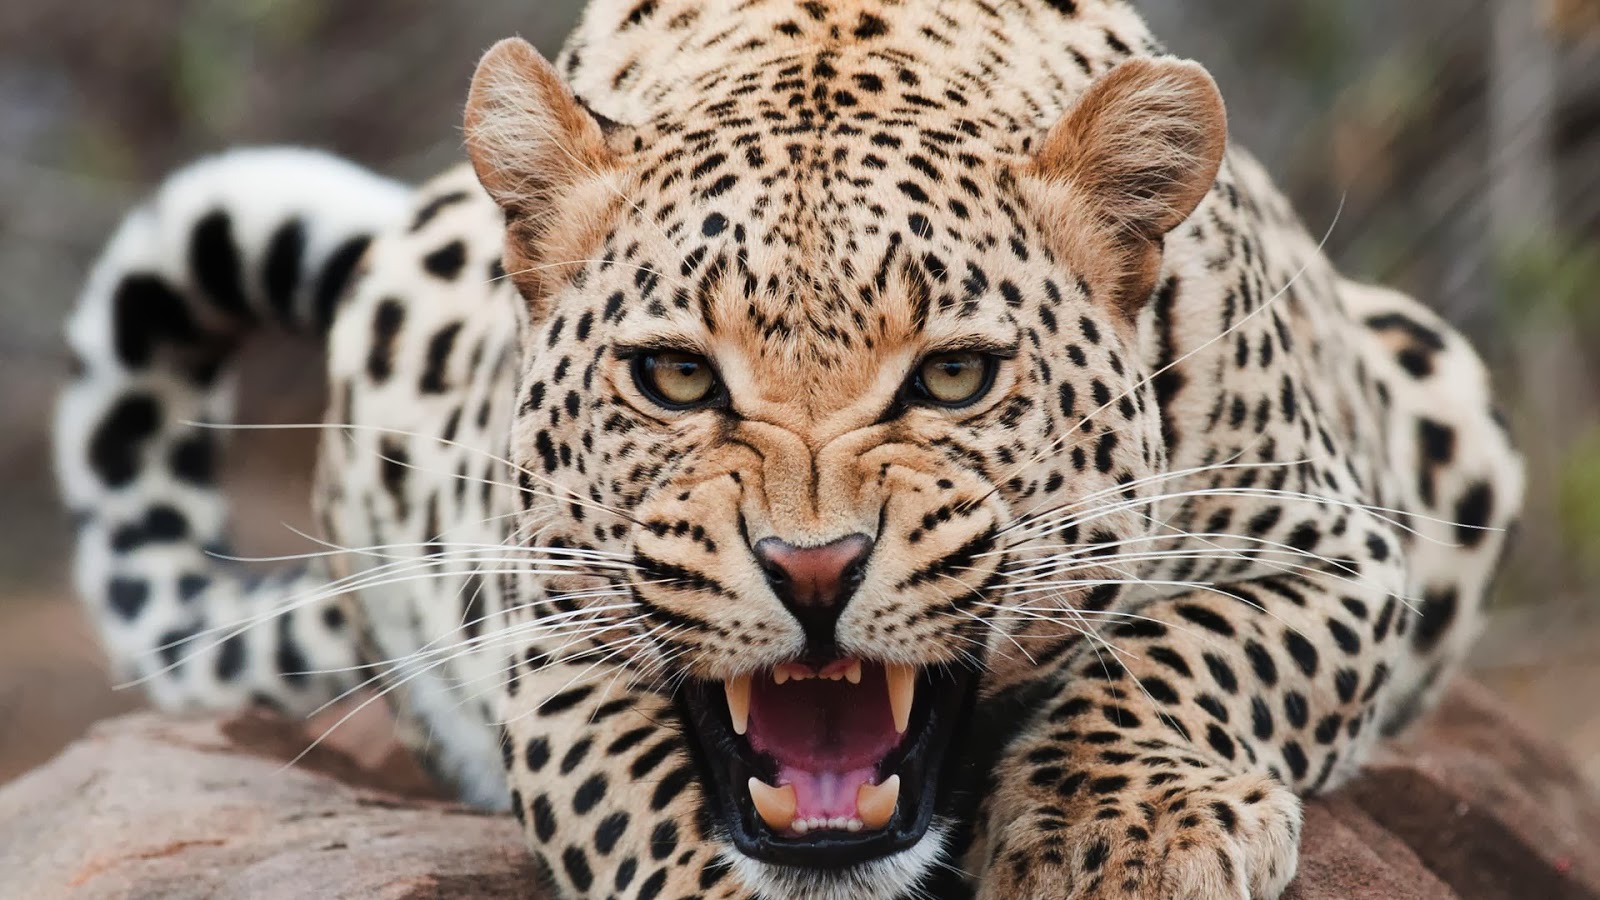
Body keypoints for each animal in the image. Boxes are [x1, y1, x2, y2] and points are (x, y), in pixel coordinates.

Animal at [55, 1, 1525, 898]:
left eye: (953, 376)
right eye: (673, 376)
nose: (812, 570)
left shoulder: (1336, 547)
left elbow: (1189, 651)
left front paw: (1121, 839)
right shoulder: (552, 643)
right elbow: (646, 814)